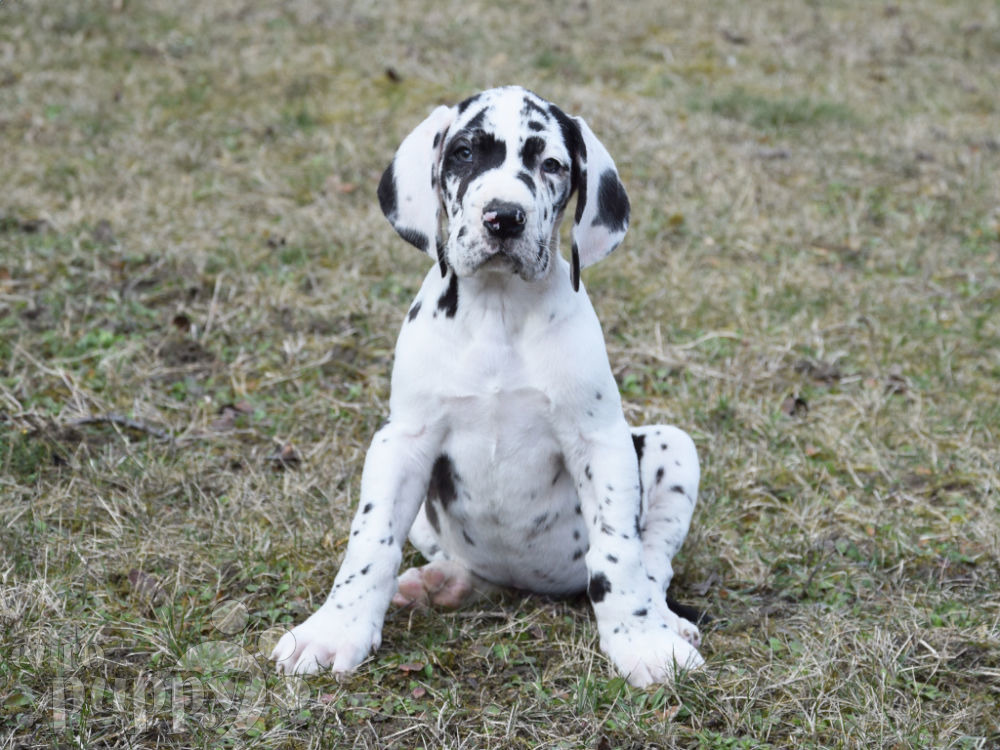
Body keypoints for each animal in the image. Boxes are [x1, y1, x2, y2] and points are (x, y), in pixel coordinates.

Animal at [270, 86, 700, 688]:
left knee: (654, 561)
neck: (499, 311)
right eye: (465, 153)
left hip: (672, 446)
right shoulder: (401, 443)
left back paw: (666, 620)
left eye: (551, 165)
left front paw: (643, 644)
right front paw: (334, 630)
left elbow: (619, 554)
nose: (504, 218)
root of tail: (525, 581)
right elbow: (370, 543)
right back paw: (441, 583)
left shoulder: (601, 442)